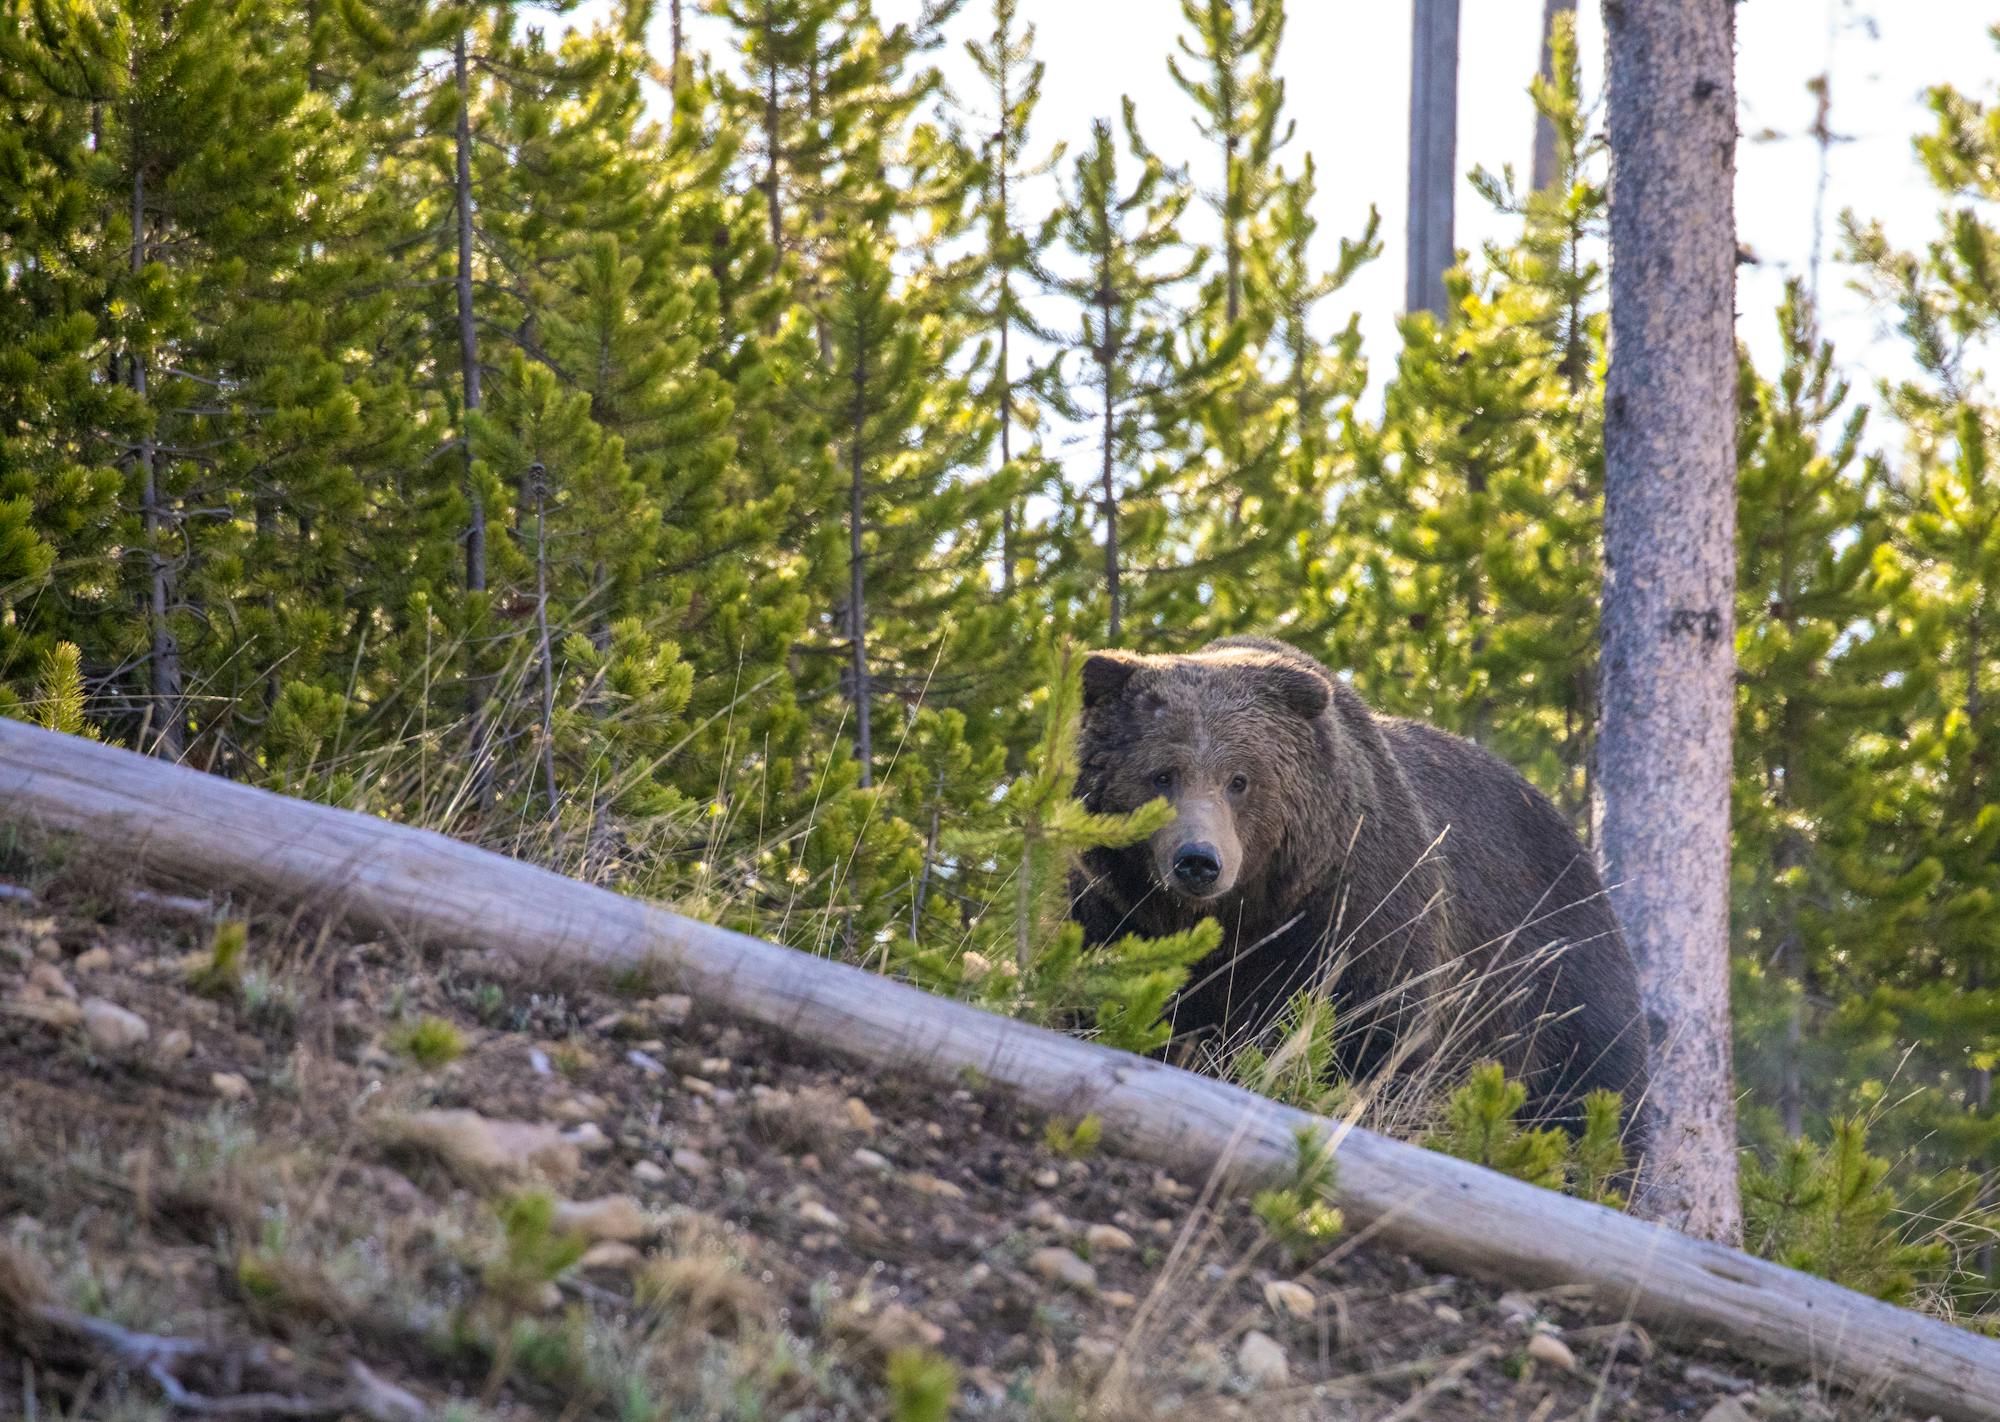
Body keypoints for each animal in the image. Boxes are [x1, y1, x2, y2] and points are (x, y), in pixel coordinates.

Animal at [1072, 640, 1648, 1144]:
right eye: (1161, 774)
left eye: (1240, 779)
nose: (1198, 861)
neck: (1246, 918)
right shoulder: (1113, 914)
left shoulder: (1358, 909)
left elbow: (1376, 1035)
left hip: (1557, 974)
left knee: (1592, 1091)